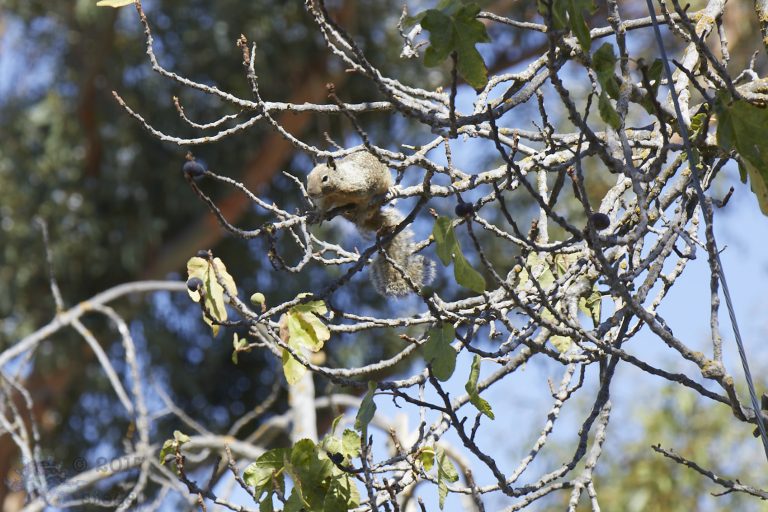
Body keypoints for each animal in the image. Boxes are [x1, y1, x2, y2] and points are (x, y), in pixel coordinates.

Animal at [306, 151, 435, 297]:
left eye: (325, 178)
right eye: (308, 177)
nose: (310, 193)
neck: (336, 191)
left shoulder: (361, 183)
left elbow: (365, 195)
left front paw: (362, 205)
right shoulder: (326, 200)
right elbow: (323, 208)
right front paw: (319, 214)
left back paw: (390, 191)